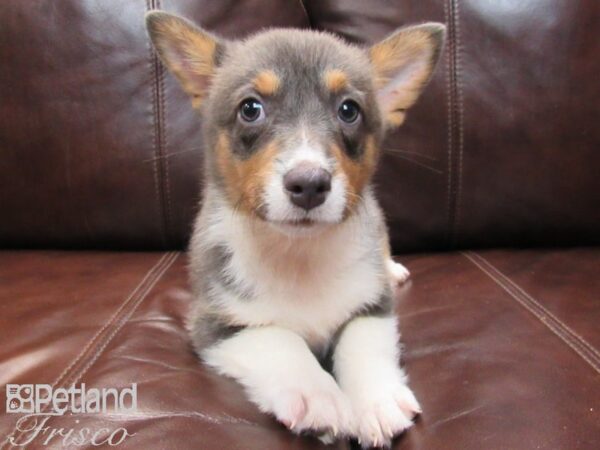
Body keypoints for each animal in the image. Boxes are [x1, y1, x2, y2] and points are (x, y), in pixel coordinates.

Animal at [146, 12, 446, 448]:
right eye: (250, 108)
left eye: (349, 109)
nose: (309, 184)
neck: (299, 254)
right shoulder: (215, 326)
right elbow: (280, 340)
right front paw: (318, 397)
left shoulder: (374, 306)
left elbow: (362, 343)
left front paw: (376, 401)